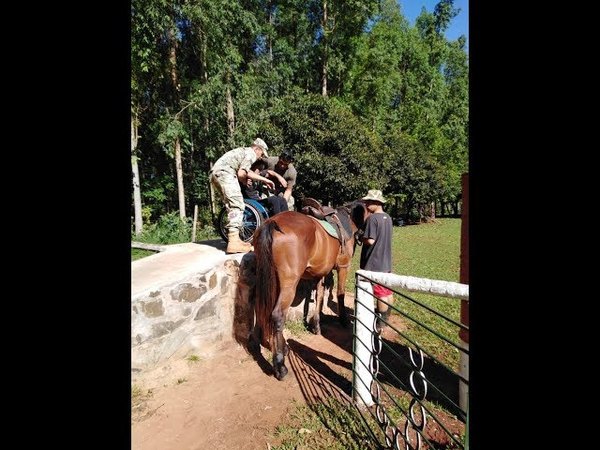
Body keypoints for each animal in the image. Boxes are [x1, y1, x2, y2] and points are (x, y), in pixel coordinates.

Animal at [250, 200, 366, 380]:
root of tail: (271, 223)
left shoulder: (319, 274)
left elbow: (318, 297)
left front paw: (316, 325)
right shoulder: (343, 267)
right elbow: (339, 294)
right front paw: (343, 320)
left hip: (269, 278)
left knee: (263, 310)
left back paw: (274, 346)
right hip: (288, 284)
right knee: (277, 315)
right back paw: (280, 365)